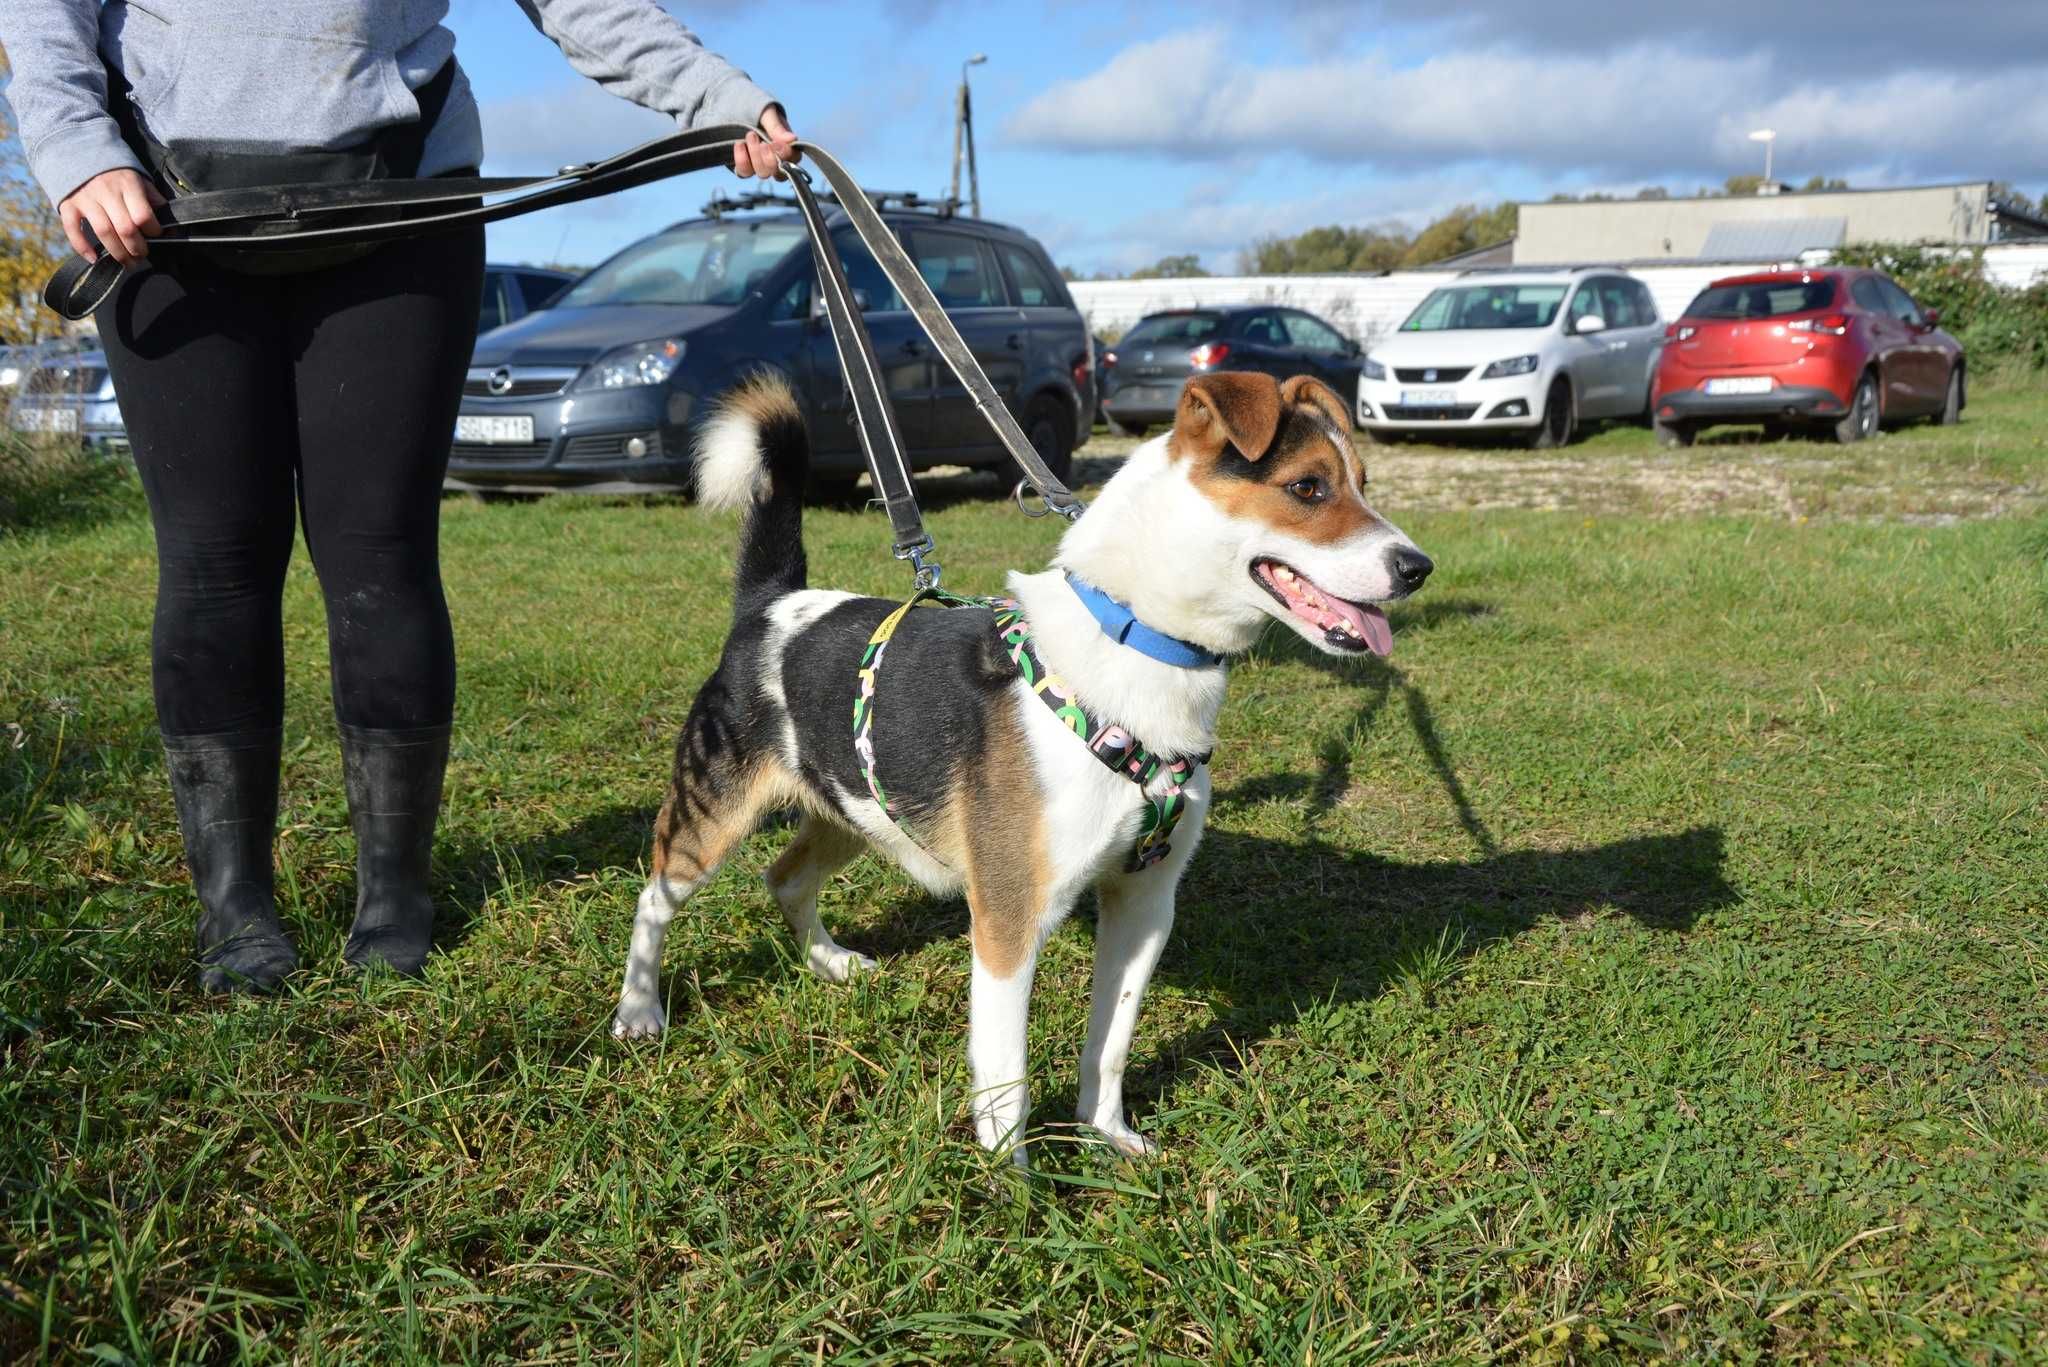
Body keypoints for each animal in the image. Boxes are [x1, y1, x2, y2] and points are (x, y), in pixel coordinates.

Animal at [614, 368, 1433, 1164]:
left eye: (1363, 483)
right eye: (1308, 488)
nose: (1418, 568)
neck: (1136, 644)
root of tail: (771, 604)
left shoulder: (1144, 903)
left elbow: (1110, 1043)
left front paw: (1104, 1134)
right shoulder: (1011, 918)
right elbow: (1007, 1075)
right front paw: (1013, 1181)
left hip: (855, 806)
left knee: (785, 877)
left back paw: (828, 962)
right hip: (713, 809)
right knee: (655, 898)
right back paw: (639, 1009)